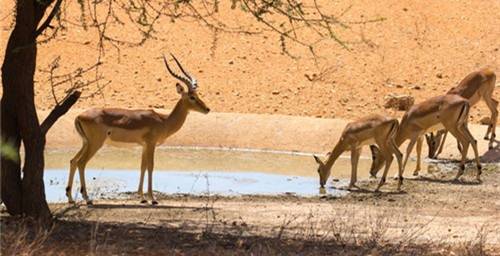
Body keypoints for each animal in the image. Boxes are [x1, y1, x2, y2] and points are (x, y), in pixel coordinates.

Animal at [65, 54, 209, 204]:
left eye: (197, 95)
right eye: (192, 97)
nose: (207, 109)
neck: (163, 120)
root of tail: (79, 116)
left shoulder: (144, 146)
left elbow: (142, 166)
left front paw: (142, 197)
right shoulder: (151, 144)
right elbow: (151, 166)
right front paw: (153, 198)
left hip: (86, 143)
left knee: (73, 161)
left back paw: (70, 198)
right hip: (95, 144)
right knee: (81, 163)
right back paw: (87, 198)